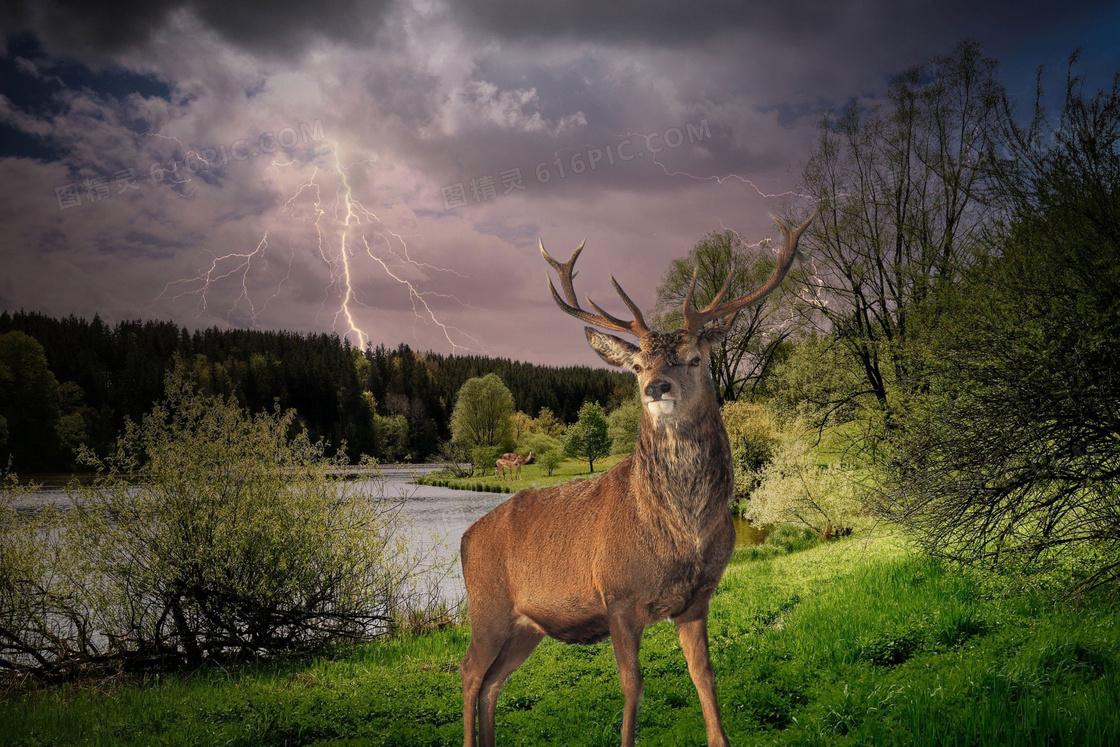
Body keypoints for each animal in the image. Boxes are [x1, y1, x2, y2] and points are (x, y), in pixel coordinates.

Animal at [456, 212, 815, 743]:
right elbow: (632, 685)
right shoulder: (619, 597)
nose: (655, 387)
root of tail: (463, 538)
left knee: (492, 683)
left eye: (695, 358)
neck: (680, 533)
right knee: (468, 672)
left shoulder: (697, 598)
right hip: (487, 609)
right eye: (638, 365)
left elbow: (705, 675)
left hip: (525, 628)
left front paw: (720, 736)